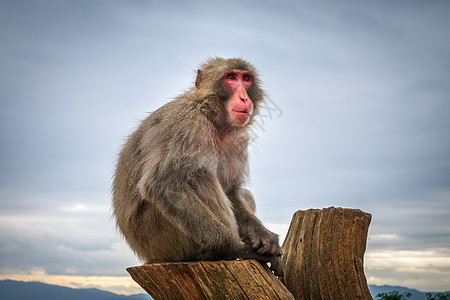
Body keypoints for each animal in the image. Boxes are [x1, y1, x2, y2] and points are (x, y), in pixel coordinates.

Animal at [112, 57, 282, 276]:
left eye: (246, 79)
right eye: (231, 77)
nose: (244, 98)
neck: (210, 114)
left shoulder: (238, 140)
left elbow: (231, 191)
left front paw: (264, 235)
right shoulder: (187, 125)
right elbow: (162, 184)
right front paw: (233, 247)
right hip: (161, 239)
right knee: (198, 175)